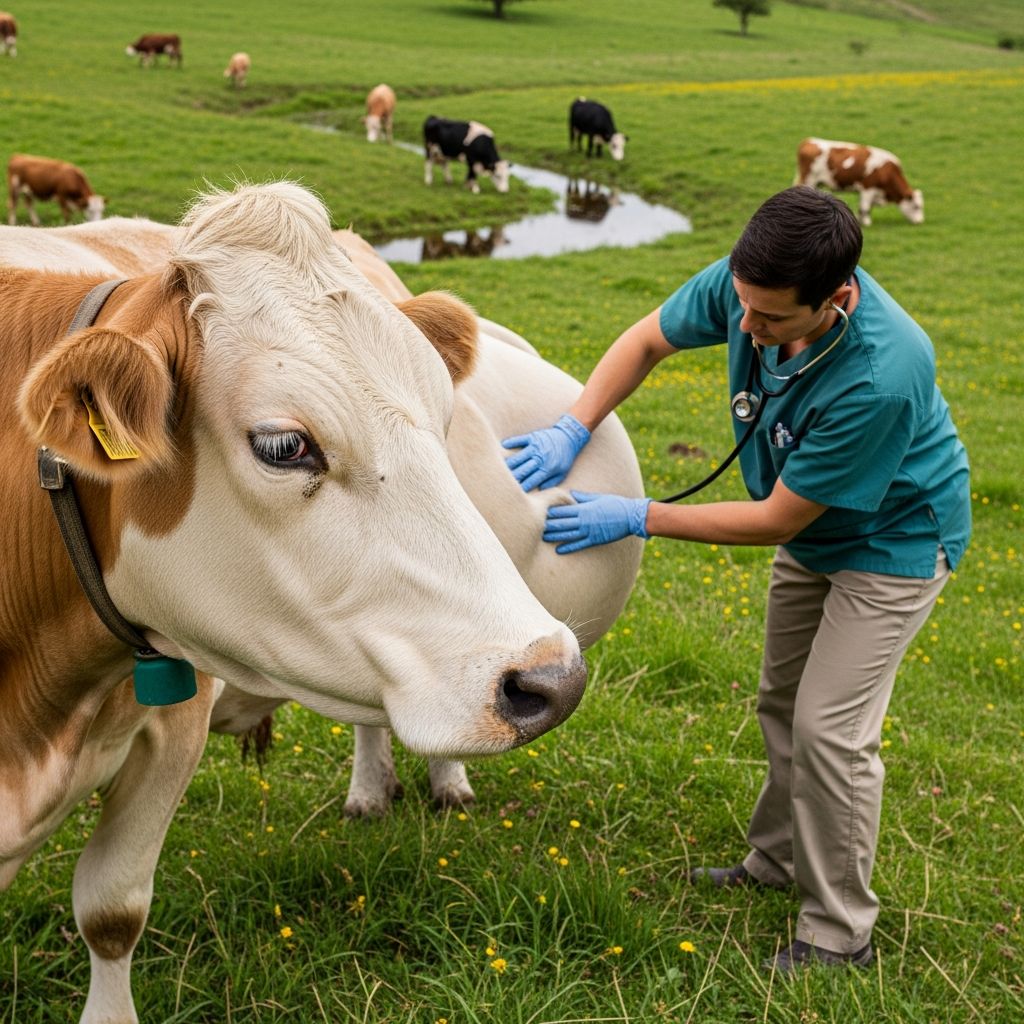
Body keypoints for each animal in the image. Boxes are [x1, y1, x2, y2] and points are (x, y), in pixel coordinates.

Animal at [794, 137, 924, 226]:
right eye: (916, 206)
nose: (920, 222)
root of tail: (808, 141)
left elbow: (864, 207)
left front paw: (860, 220)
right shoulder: (868, 188)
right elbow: (865, 208)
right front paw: (867, 223)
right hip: (808, 179)